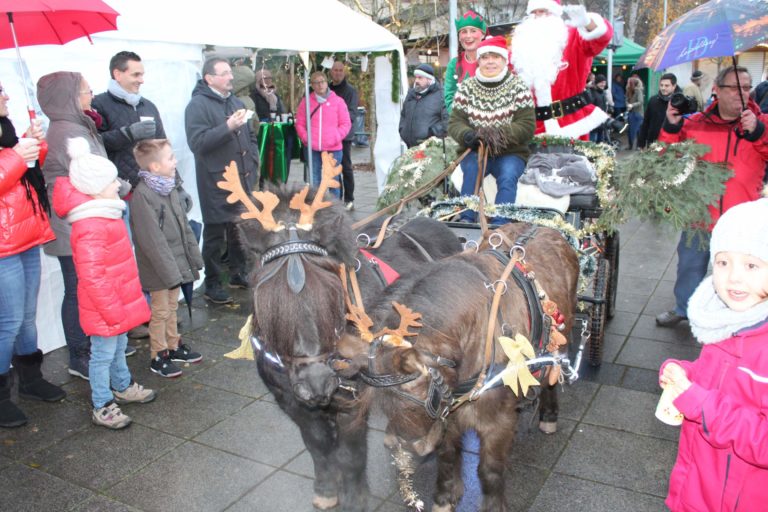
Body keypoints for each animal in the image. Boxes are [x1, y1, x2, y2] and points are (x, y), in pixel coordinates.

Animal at [340, 224, 580, 512]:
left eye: (417, 390)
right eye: (384, 403)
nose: (409, 446)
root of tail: (545, 227)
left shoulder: (497, 420)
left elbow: (489, 469)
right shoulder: (448, 413)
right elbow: (447, 454)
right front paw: (445, 497)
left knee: (553, 373)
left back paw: (548, 415)